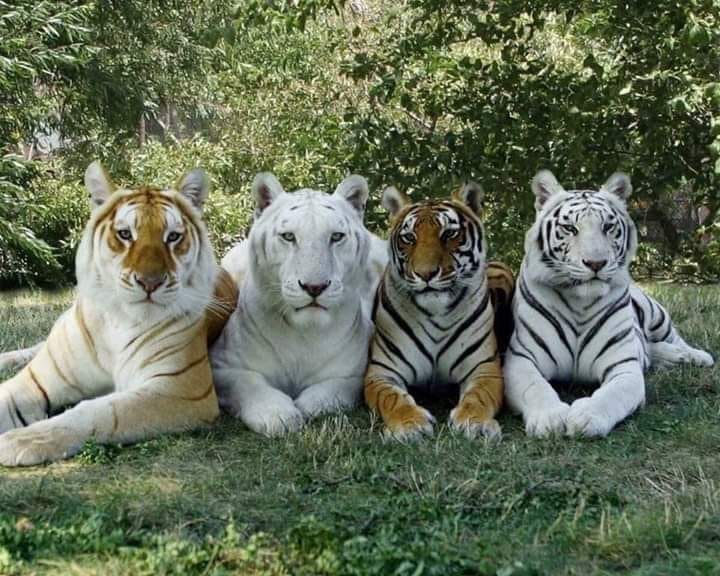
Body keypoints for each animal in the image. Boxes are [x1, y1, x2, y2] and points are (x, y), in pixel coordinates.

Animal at [0, 161, 237, 466]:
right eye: (125, 234)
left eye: (173, 237)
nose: (150, 282)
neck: (119, 320)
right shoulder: (35, 380)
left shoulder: (182, 390)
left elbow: (100, 411)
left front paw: (23, 440)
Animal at [211, 172, 386, 436]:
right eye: (289, 236)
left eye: (336, 236)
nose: (314, 287)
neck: (304, 333)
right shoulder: (222, 367)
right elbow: (248, 383)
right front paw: (277, 415)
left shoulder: (355, 372)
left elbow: (334, 389)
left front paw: (306, 405)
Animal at [364, 182, 514, 441]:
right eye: (409, 238)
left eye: (449, 234)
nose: (426, 274)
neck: (436, 315)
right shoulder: (381, 372)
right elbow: (392, 398)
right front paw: (409, 424)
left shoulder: (484, 369)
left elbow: (479, 396)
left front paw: (475, 422)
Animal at [504, 169, 714, 438]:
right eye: (570, 228)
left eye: (607, 227)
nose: (596, 263)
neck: (579, 303)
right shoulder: (521, 358)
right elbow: (535, 388)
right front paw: (549, 418)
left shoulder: (624, 367)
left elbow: (612, 395)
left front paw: (586, 417)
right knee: (650, 348)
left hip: (656, 315)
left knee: (673, 339)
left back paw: (695, 356)